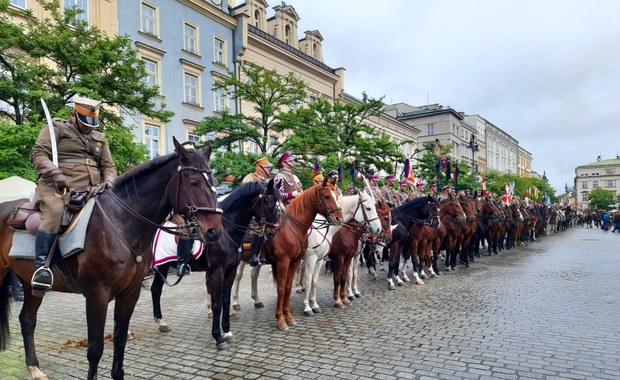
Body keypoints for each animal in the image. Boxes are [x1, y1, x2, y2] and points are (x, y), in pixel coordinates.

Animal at [0, 139, 223, 380]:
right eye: (193, 182)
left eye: (214, 183)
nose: (215, 231)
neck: (121, 223)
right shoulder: (96, 295)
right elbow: (95, 348)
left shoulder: (130, 293)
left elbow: (120, 339)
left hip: (30, 284)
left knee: (27, 320)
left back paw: (34, 366)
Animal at [148, 180, 278, 348]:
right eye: (268, 203)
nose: (271, 233)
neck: (225, 233)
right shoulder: (217, 271)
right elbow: (217, 305)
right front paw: (218, 337)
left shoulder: (230, 271)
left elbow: (225, 301)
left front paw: (227, 332)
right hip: (157, 266)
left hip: (162, 267)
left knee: (155, 290)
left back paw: (162, 323)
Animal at [260, 178, 342, 330]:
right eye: (327, 196)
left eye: (336, 196)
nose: (339, 218)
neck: (293, 228)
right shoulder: (286, 262)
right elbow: (283, 287)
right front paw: (282, 318)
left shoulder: (299, 261)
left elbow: (290, 287)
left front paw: (289, 315)